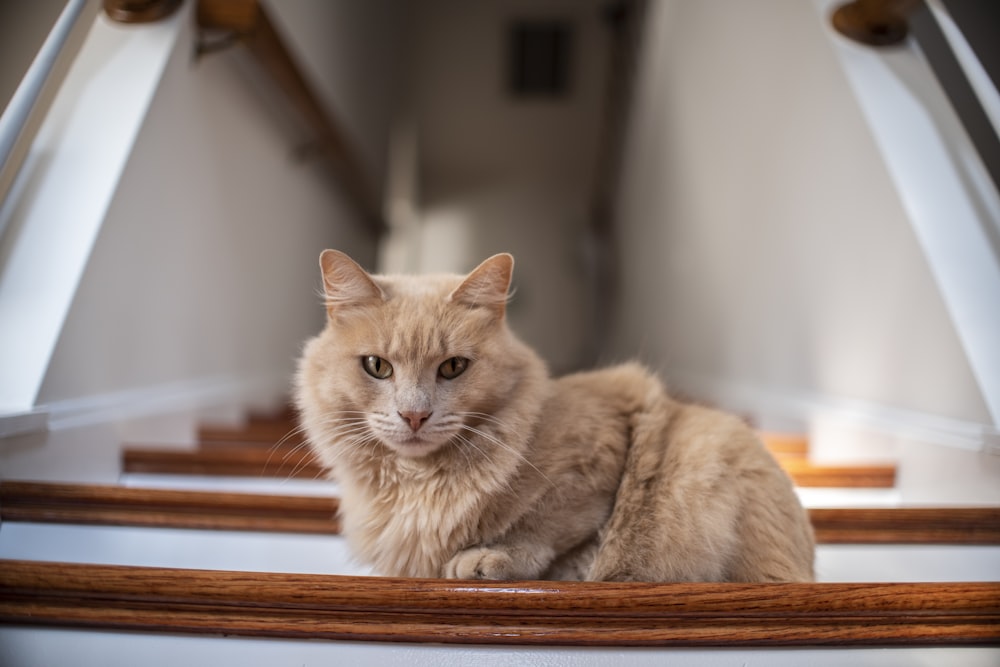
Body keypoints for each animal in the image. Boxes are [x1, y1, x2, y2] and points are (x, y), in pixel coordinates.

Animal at [292, 248, 816, 580]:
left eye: (453, 367)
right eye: (377, 366)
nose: (414, 415)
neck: (419, 484)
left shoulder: (601, 457)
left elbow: (550, 532)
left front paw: (485, 558)